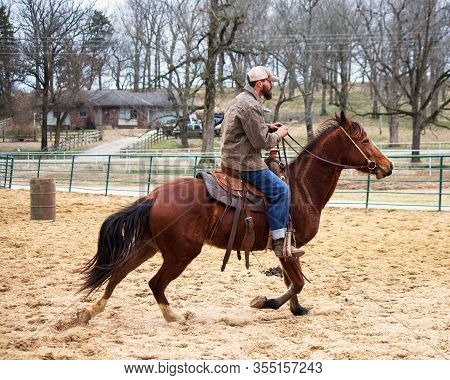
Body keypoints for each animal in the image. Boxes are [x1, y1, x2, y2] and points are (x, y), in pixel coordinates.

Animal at [79, 113, 392, 324]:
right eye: (364, 140)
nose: (388, 166)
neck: (301, 187)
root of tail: (154, 196)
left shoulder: (288, 248)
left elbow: (292, 281)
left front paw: (297, 309)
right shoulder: (287, 245)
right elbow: (297, 282)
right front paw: (265, 302)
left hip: (150, 245)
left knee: (119, 271)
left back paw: (91, 311)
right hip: (180, 254)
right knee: (155, 283)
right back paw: (174, 317)